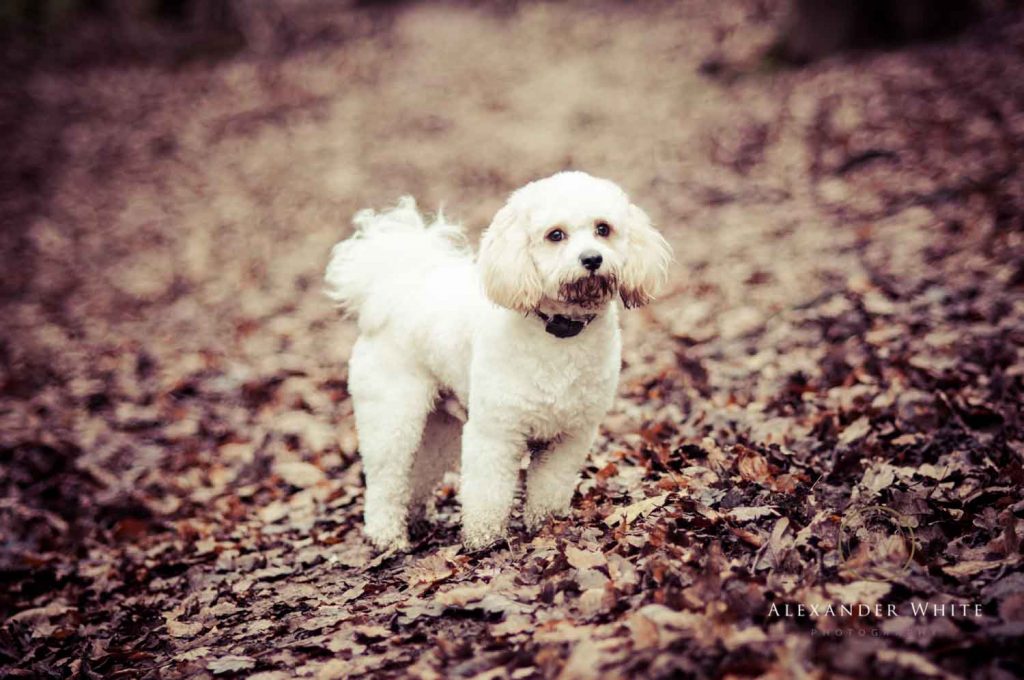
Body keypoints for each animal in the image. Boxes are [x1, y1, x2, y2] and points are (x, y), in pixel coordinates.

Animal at [323, 170, 667, 553]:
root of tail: (394, 286)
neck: (559, 333)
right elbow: (488, 491)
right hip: (393, 415)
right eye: (556, 235)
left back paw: (414, 519)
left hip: (438, 425)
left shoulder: (570, 436)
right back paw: (387, 536)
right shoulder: (495, 432)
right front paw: (484, 539)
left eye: (603, 229)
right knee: (386, 478)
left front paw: (546, 525)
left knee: (418, 473)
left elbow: (550, 487)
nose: (592, 259)